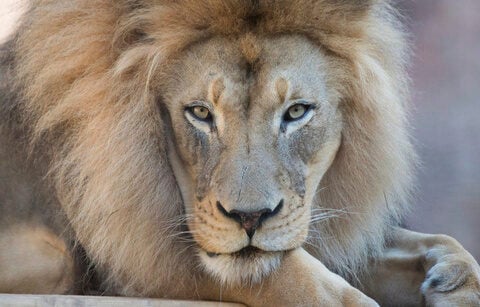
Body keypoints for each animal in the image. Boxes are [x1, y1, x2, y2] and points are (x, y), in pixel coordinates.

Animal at [0, 0, 478, 306]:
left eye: (297, 111)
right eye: (200, 112)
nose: (250, 218)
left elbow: (438, 243)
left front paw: (452, 280)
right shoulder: (140, 249)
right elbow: (305, 286)